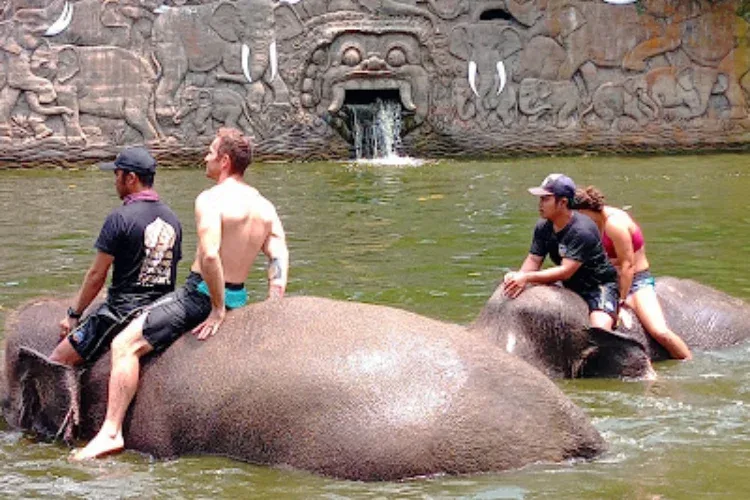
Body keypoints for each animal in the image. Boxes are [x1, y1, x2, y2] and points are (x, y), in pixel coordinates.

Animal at [29, 43, 161, 142]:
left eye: (43, 64)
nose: (71, 113)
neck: (58, 47)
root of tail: (151, 74)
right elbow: (48, 105)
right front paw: (45, 134)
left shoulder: (69, 82)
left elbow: (65, 103)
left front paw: (77, 141)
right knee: (148, 114)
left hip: (136, 89)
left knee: (133, 115)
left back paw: (150, 143)